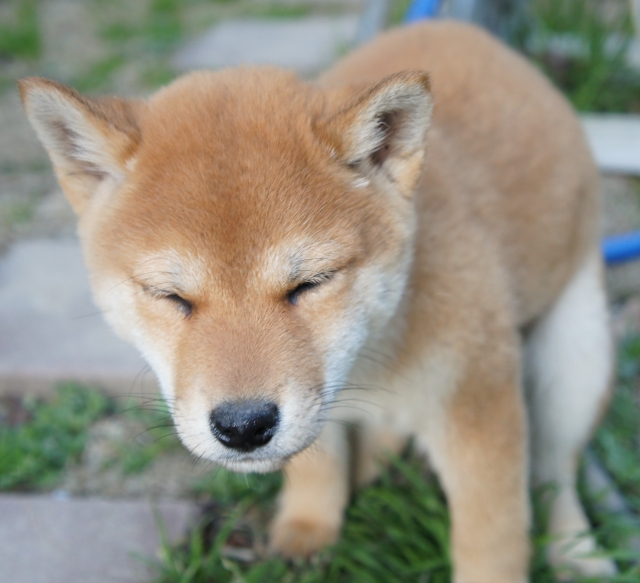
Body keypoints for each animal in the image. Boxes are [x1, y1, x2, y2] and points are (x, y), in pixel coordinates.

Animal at [22, 20, 616, 583]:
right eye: (170, 296)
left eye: (310, 283)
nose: (243, 427)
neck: (374, 357)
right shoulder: (317, 399)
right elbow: (315, 463)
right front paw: (309, 529)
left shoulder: (478, 405)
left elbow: (492, 537)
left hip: (574, 363)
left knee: (554, 475)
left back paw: (576, 553)